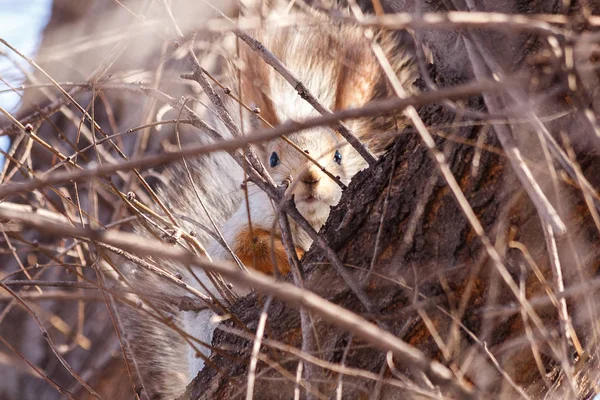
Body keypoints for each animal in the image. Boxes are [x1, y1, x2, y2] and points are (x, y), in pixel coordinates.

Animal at [119, 1, 420, 398]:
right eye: (273, 158)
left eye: (339, 155)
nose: (308, 178)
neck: (308, 221)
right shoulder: (236, 233)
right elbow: (246, 246)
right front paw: (290, 256)